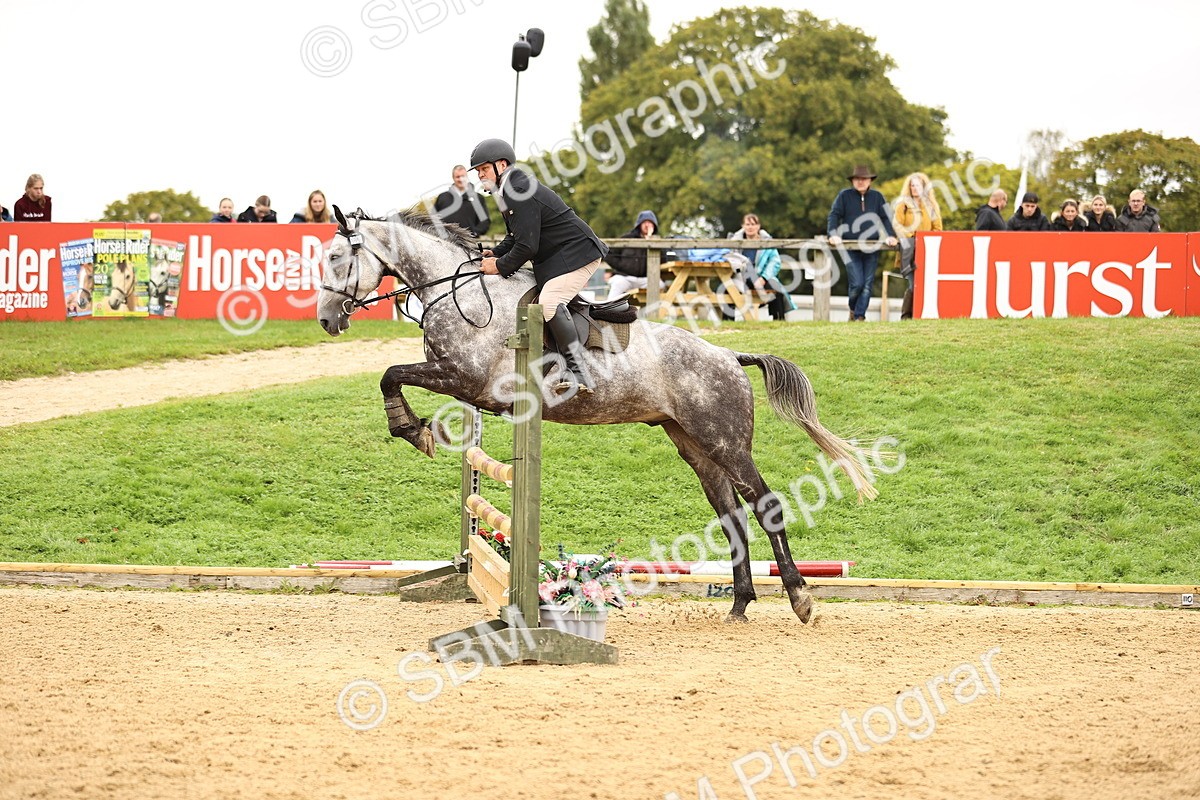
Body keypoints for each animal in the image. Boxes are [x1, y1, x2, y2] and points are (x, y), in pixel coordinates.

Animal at [316, 208, 877, 623]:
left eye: (339, 257)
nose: (325, 321)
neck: (464, 292)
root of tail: (729, 357)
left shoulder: (465, 379)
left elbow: (390, 373)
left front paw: (409, 429)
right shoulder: (462, 384)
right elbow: (394, 375)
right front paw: (415, 428)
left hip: (726, 442)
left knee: (766, 507)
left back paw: (801, 601)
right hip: (694, 445)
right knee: (732, 515)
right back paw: (740, 605)